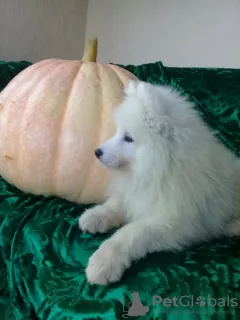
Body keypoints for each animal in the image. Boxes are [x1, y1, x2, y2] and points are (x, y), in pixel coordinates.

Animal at [79, 80, 240, 284]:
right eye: (117, 132)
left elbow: (130, 233)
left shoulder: (170, 221)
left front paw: (103, 263)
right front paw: (94, 216)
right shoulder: (136, 195)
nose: (96, 152)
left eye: (128, 138)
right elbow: (115, 205)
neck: (160, 170)